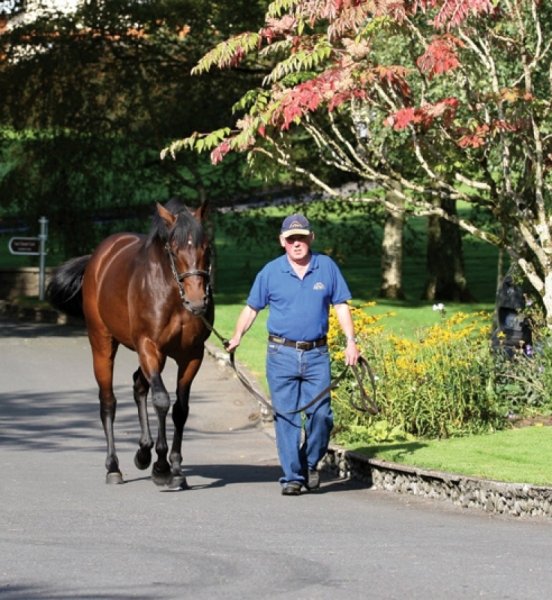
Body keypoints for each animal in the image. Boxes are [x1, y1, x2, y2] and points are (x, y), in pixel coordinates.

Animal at [47, 199, 214, 489]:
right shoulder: (149, 345)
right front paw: (162, 467)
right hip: (103, 344)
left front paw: (175, 467)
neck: (172, 293)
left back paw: (143, 451)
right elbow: (161, 400)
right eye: (174, 249)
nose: (197, 301)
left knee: (139, 385)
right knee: (108, 402)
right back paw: (114, 467)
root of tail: (99, 257)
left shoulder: (192, 355)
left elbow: (180, 409)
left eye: (206, 246)